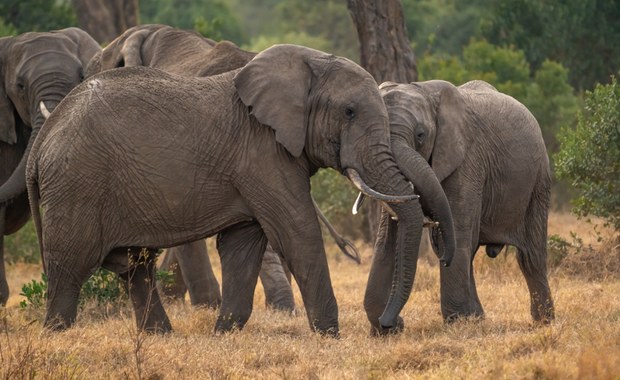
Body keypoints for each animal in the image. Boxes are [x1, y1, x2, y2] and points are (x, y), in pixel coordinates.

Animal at [364, 79, 552, 332]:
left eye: (420, 135)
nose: (391, 322)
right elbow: (387, 238)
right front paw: (386, 330)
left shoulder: (467, 159)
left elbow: (457, 233)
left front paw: (459, 323)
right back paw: (478, 317)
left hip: (538, 180)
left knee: (530, 256)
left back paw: (544, 321)